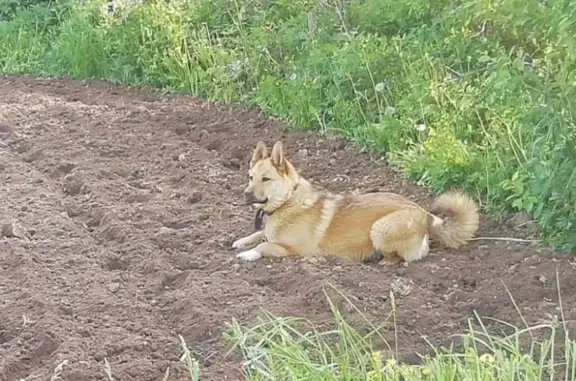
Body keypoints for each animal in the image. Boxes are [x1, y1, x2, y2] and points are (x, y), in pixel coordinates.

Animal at [232, 140, 480, 264]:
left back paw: (379, 260)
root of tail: (427, 216)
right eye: (250, 177)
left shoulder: (296, 250)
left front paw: (248, 253)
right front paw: (242, 241)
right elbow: (259, 234)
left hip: (379, 228)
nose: (246, 194)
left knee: (398, 258)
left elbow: (264, 245)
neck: (287, 201)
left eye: (266, 179)